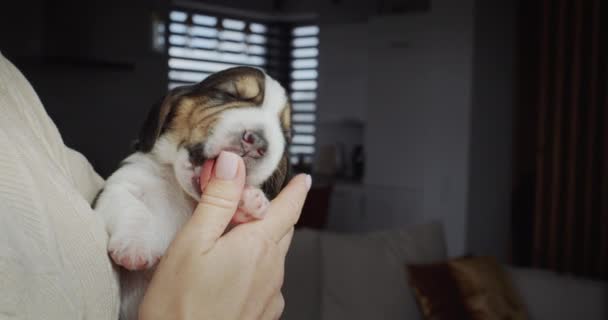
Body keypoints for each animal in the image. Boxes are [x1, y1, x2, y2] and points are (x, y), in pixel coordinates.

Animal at [94, 66, 292, 318]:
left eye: (285, 133)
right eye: (229, 94)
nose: (257, 142)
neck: (184, 194)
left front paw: (248, 199)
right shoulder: (122, 184)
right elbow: (132, 207)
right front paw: (135, 245)